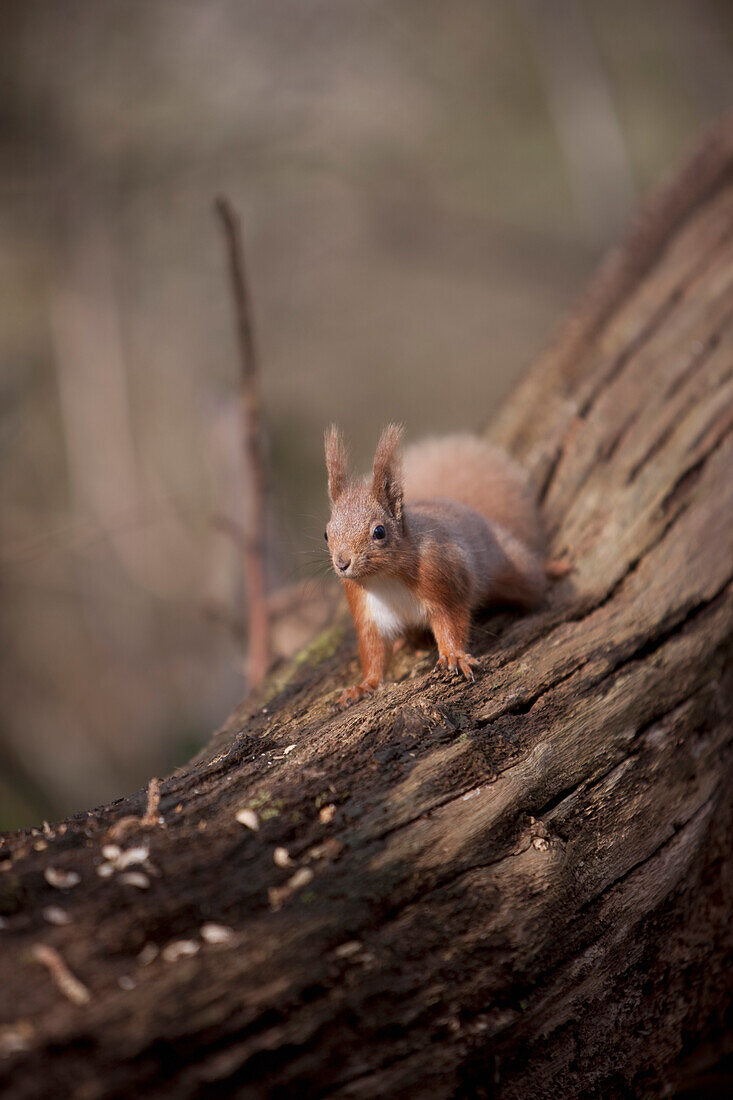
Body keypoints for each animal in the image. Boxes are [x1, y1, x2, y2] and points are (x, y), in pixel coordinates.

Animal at [323, 424, 556, 708]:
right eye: (326, 534)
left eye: (379, 532)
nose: (342, 563)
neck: (385, 578)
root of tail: (474, 513)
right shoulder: (367, 611)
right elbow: (373, 650)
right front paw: (364, 685)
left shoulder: (444, 578)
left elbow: (451, 622)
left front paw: (453, 655)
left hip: (513, 569)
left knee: (533, 581)